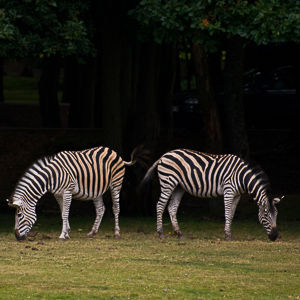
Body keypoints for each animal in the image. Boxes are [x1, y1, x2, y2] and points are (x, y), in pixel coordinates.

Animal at [8, 145, 150, 241]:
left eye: (19, 215)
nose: (17, 237)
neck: (52, 176)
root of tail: (115, 153)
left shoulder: (67, 191)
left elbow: (65, 213)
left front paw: (62, 235)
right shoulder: (58, 194)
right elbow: (63, 212)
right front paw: (67, 232)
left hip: (116, 184)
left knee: (116, 208)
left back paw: (116, 234)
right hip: (97, 189)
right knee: (101, 209)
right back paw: (92, 233)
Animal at [139, 149, 282, 241]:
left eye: (276, 215)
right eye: (265, 215)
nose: (275, 237)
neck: (242, 177)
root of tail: (163, 156)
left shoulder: (237, 195)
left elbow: (232, 213)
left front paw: (229, 234)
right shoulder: (229, 190)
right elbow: (227, 213)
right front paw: (227, 235)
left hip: (178, 187)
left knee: (171, 207)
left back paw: (179, 233)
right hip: (168, 182)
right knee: (160, 205)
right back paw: (160, 233)